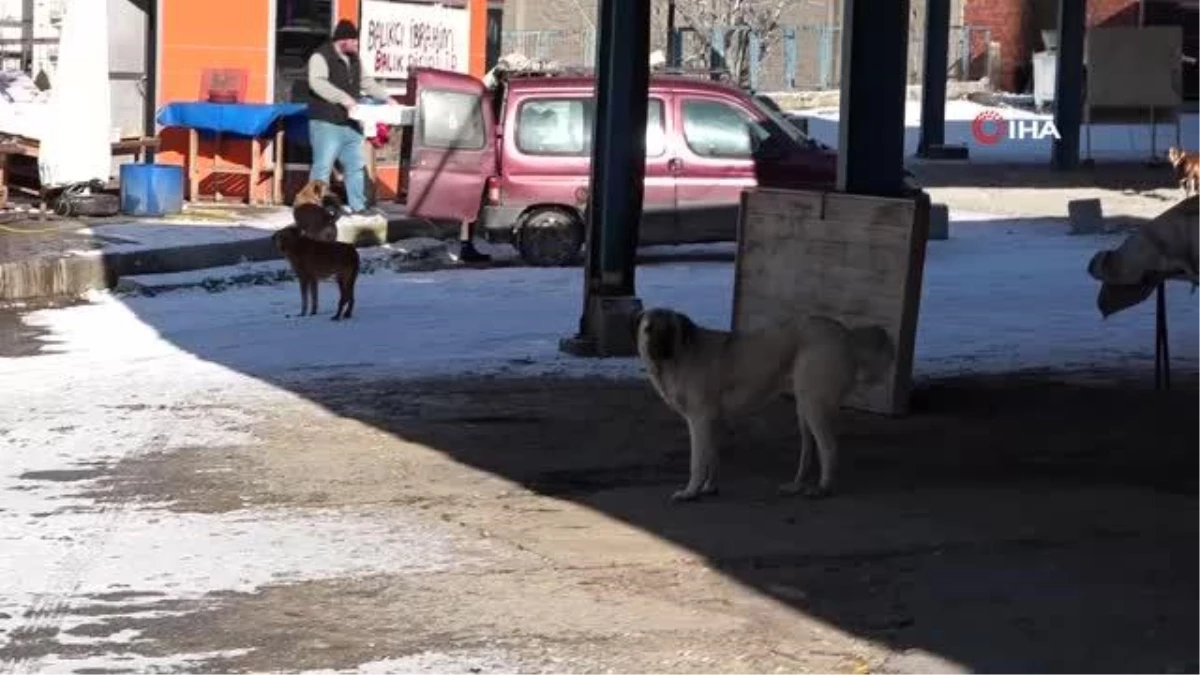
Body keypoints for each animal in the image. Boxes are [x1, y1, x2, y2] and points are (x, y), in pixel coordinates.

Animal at [633, 307, 897, 502]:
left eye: (670, 330)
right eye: (649, 329)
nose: (660, 349)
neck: (682, 355)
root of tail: (846, 335)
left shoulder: (699, 420)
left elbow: (697, 462)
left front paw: (691, 492)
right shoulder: (712, 422)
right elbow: (712, 457)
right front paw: (709, 488)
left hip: (814, 405)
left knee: (829, 447)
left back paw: (823, 488)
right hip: (804, 407)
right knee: (809, 450)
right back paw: (796, 486)